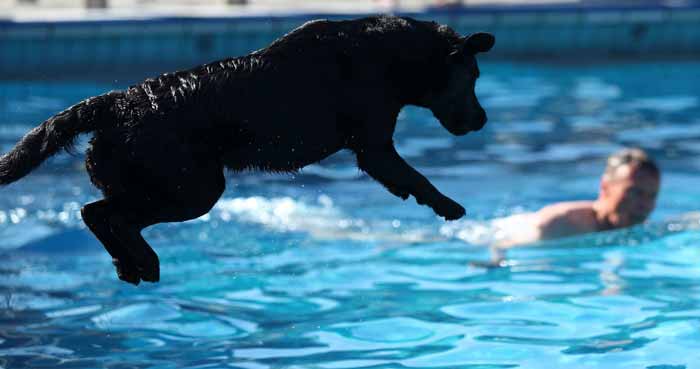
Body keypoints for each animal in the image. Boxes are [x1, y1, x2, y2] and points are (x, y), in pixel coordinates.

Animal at [0, 15, 492, 284]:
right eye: (472, 78)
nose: (483, 120)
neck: (393, 52)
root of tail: (119, 101)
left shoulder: (374, 151)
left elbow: (403, 179)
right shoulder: (374, 147)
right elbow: (415, 176)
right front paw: (447, 205)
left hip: (155, 184)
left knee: (96, 212)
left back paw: (130, 265)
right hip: (194, 189)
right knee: (110, 216)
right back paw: (144, 262)